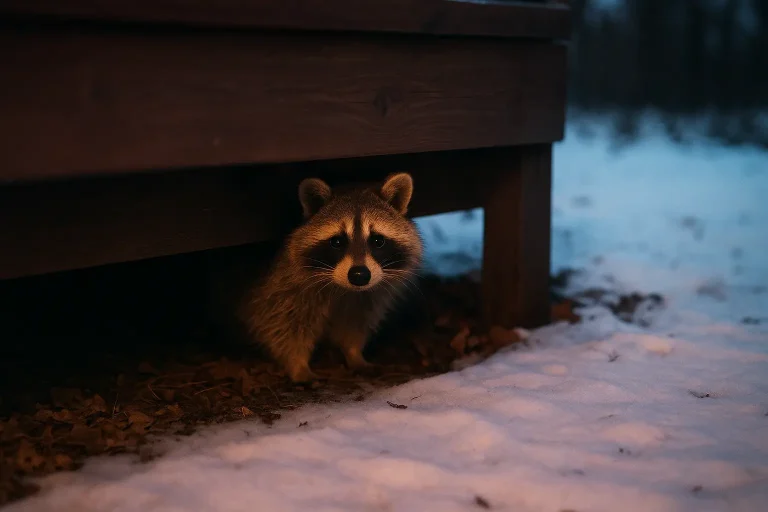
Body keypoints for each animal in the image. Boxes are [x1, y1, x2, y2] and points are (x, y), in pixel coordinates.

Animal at [236, 173, 424, 383]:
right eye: (337, 242)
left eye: (377, 240)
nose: (359, 275)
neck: (344, 289)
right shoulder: (280, 287)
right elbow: (280, 324)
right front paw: (297, 364)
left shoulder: (364, 297)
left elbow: (354, 321)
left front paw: (353, 353)